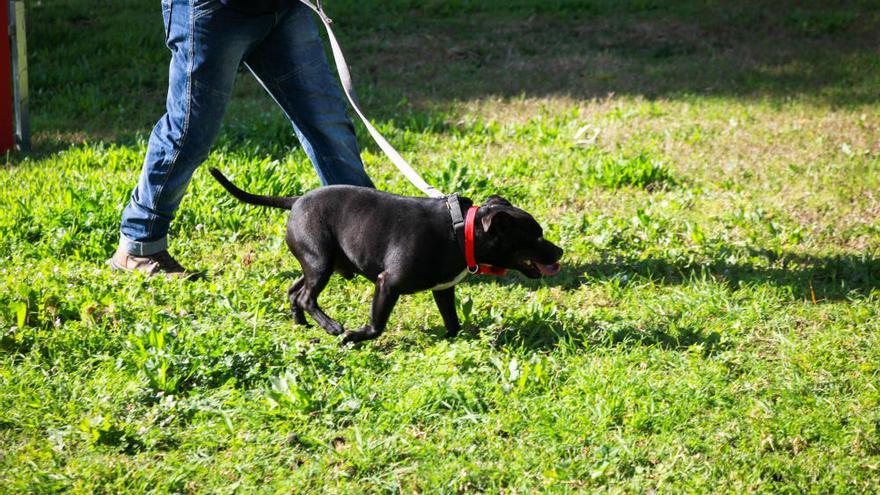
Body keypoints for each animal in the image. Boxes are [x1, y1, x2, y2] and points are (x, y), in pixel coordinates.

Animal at [210, 169, 560, 342]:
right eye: (535, 236)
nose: (560, 250)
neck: (462, 231)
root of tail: (295, 201)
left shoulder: (443, 289)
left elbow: (452, 320)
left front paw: (456, 338)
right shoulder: (387, 284)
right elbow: (377, 325)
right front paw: (356, 336)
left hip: (317, 264)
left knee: (295, 292)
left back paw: (303, 324)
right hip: (320, 263)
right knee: (308, 297)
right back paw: (332, 327)